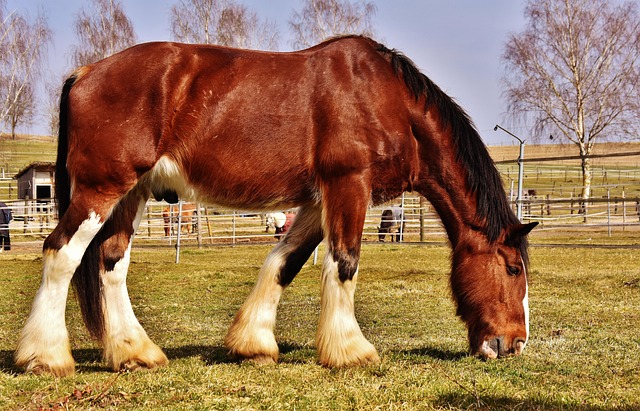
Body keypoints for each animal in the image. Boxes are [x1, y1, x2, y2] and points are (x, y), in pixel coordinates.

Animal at [16, 36, 536, 376]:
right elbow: (344, 263)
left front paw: (253, 344)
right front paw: (350, 351)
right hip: (101, 189)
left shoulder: (315, 201)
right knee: (61, 253)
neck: (386, 100)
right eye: (513, 268)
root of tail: (86, 73)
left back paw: (134, 352)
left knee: (110, 262)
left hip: (132, 193)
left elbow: (285, 262)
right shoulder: (349, 185)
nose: (514, 344)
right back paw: (46, 357)